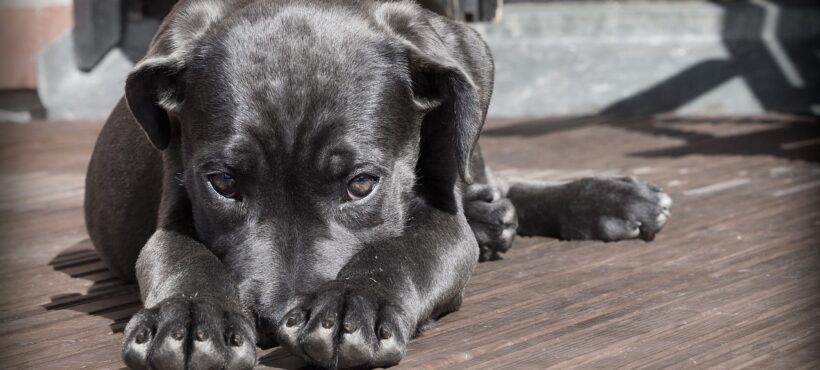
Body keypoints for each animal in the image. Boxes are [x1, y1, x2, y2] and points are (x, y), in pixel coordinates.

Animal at [85, 1, 672, 368]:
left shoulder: (440, 214)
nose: (273, 320)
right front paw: (190, 318)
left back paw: (605, 199)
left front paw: (353, 304)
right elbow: (179, 255)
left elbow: (406, 249)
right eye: (223, 183)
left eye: (362, 184)